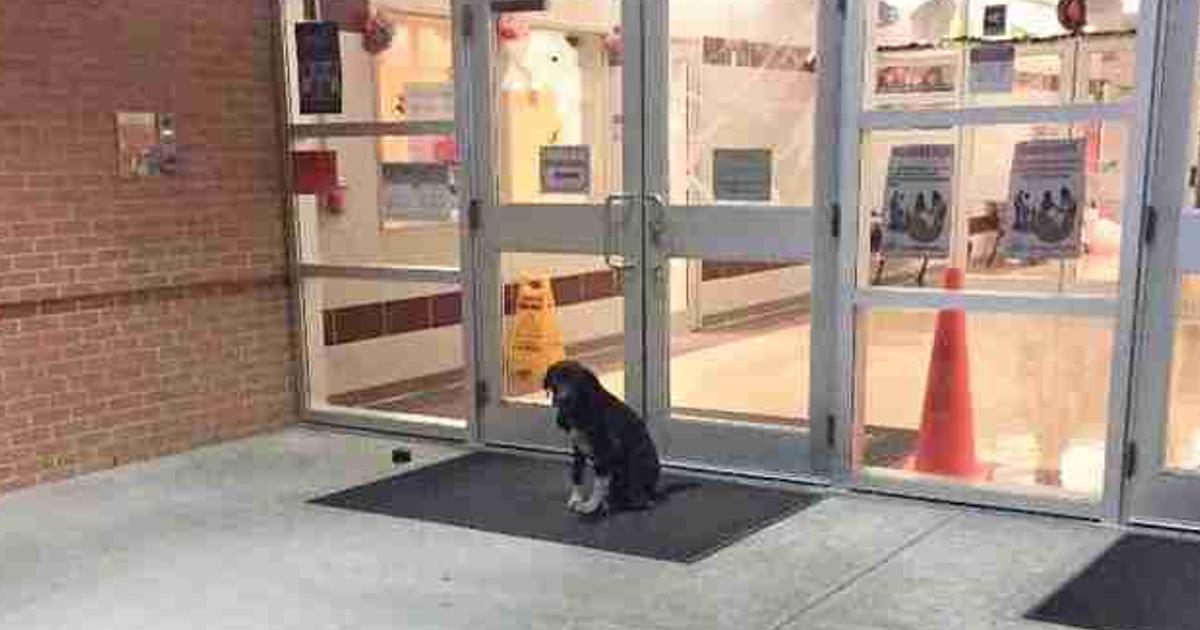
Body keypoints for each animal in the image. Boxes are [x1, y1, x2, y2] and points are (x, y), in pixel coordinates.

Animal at [542, 357, 686, 516]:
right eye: (557, 379)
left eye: (576, 381)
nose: (562, 399)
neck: (580, 407)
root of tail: (654, 490)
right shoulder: (578, 449)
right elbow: (577, 474)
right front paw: (576, 498)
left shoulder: (605, 450)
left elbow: (599, 484)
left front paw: (590, 505)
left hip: (634, 464)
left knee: (640, 499)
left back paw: (618, 503)